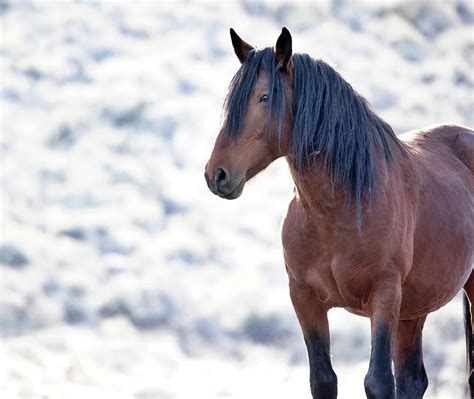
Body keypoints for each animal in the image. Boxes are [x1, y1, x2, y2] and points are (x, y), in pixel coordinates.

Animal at [204, 28, 474, 399]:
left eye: (264, 97)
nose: (216, 174)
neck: (341, 209)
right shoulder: (305, 297)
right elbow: (323, 379)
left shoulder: (384, 296)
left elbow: (377, 382)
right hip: (413, 308)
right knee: (412, 378)